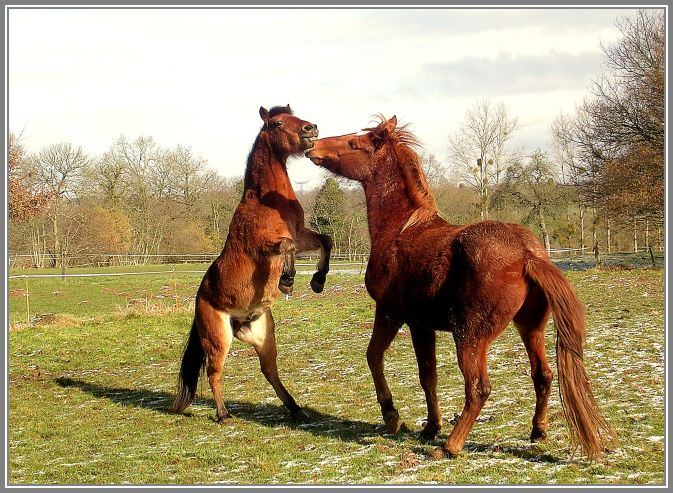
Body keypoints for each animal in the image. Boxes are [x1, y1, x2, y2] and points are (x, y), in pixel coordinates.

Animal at [172, 105, 332, 420]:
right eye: (279, 122)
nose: (311, 129)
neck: (266, 203)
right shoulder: (265, 246)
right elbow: (286, 248)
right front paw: (287, 280)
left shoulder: (302, 234)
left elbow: (325, 240)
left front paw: (318, 281)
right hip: (219, 338)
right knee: (214, 372)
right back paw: (223, 415)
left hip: (263, 336)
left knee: (269, 371)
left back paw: (296, 409)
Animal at [308, 116, 612, 462]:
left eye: (353, 143)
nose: (312, 145)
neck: (402, 230)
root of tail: (528, 254)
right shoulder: (421, 325)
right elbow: (428, 376)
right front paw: (430, 427)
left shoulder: (390, 313)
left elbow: (374, 357)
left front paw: (393, 417)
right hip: (530, 327)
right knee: (542, 375)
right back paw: (538, 431)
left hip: (470, 336)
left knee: (478, 388)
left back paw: (450, 446)